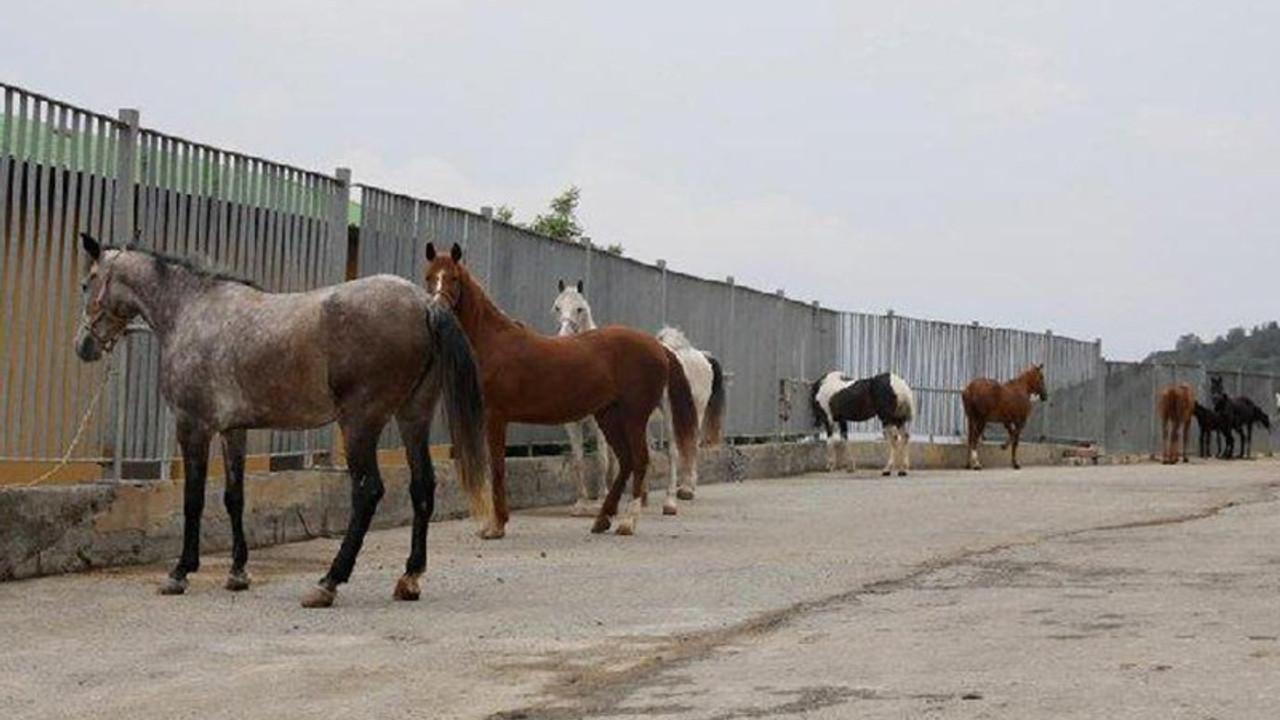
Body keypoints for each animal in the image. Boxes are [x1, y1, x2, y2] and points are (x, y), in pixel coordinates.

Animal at [73, 235, 488, 604]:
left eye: (86, 283)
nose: (84, 345)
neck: (193, 311)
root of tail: (424, 304)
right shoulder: (233, 430)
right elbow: (234, 497)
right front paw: (238, 572)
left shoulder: (193, 427)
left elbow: (193, 499)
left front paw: (180, 572)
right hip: (412, 417)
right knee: (422, 487)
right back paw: (409, 578)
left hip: (360, 424)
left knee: (368, 491)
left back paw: (329, 582)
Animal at [424, 243, 696, 535]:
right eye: (429, 277)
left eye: (453, 278)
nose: (437, 311)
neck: (494, 342)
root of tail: (659, 348)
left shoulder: (495, 417)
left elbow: (496, 466)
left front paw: (497, 526)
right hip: (609, 416)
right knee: (625, 461)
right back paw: (602, 519)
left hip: (634, 417)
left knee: (641, 459)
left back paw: (628, 521)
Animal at [552, 279, 727, 509]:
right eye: (557, 307)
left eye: (580, 309)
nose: (562, 339)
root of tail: (702, 356)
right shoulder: (573, 423)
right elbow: (579, 460)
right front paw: (582, 501)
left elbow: (602, 459)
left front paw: (602, 496)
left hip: (692, 414)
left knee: (690, 446)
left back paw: (686, 490)